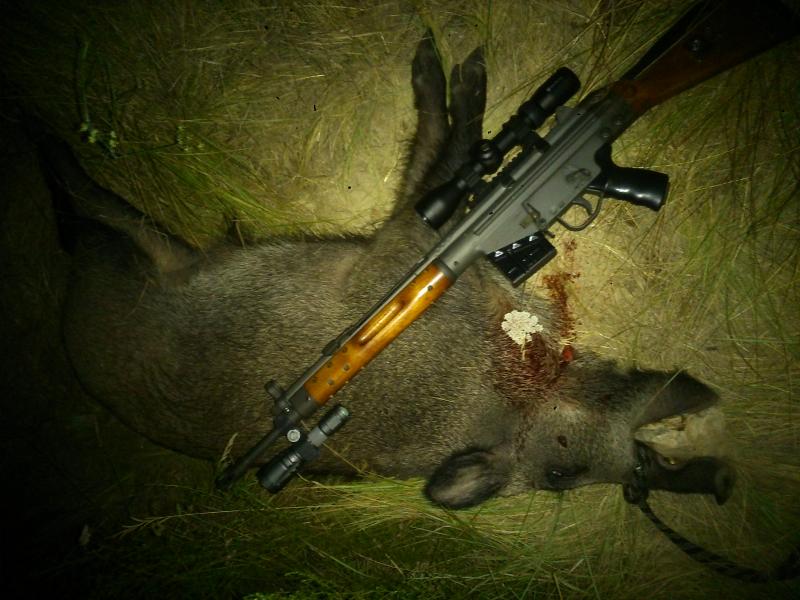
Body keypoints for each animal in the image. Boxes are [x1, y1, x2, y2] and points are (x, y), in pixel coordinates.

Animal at [37, 34, 733, 509]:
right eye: (564, 469)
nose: (714, 474)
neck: (499, 383)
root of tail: (69, 302)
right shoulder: (408, 244)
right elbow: (450, 152)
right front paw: (453, 64)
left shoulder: (410, 241)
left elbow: (448, 155)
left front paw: (450, 66)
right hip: (144, 248)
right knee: (81, 199)